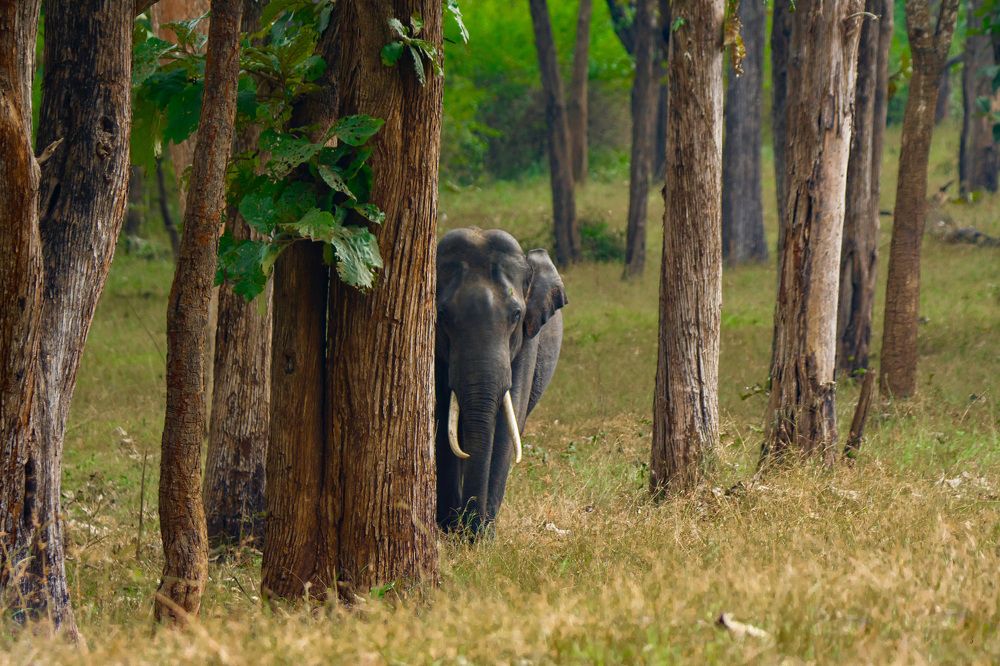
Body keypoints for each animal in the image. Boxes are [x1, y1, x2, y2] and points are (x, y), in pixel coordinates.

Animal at [435, 228, 567, 535]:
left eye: (516, 315)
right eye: (442, 315)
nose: (468, 530)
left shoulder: (529, 340)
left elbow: (509, 422)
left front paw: (482, 534)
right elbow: (441, 422)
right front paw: (449, 531)